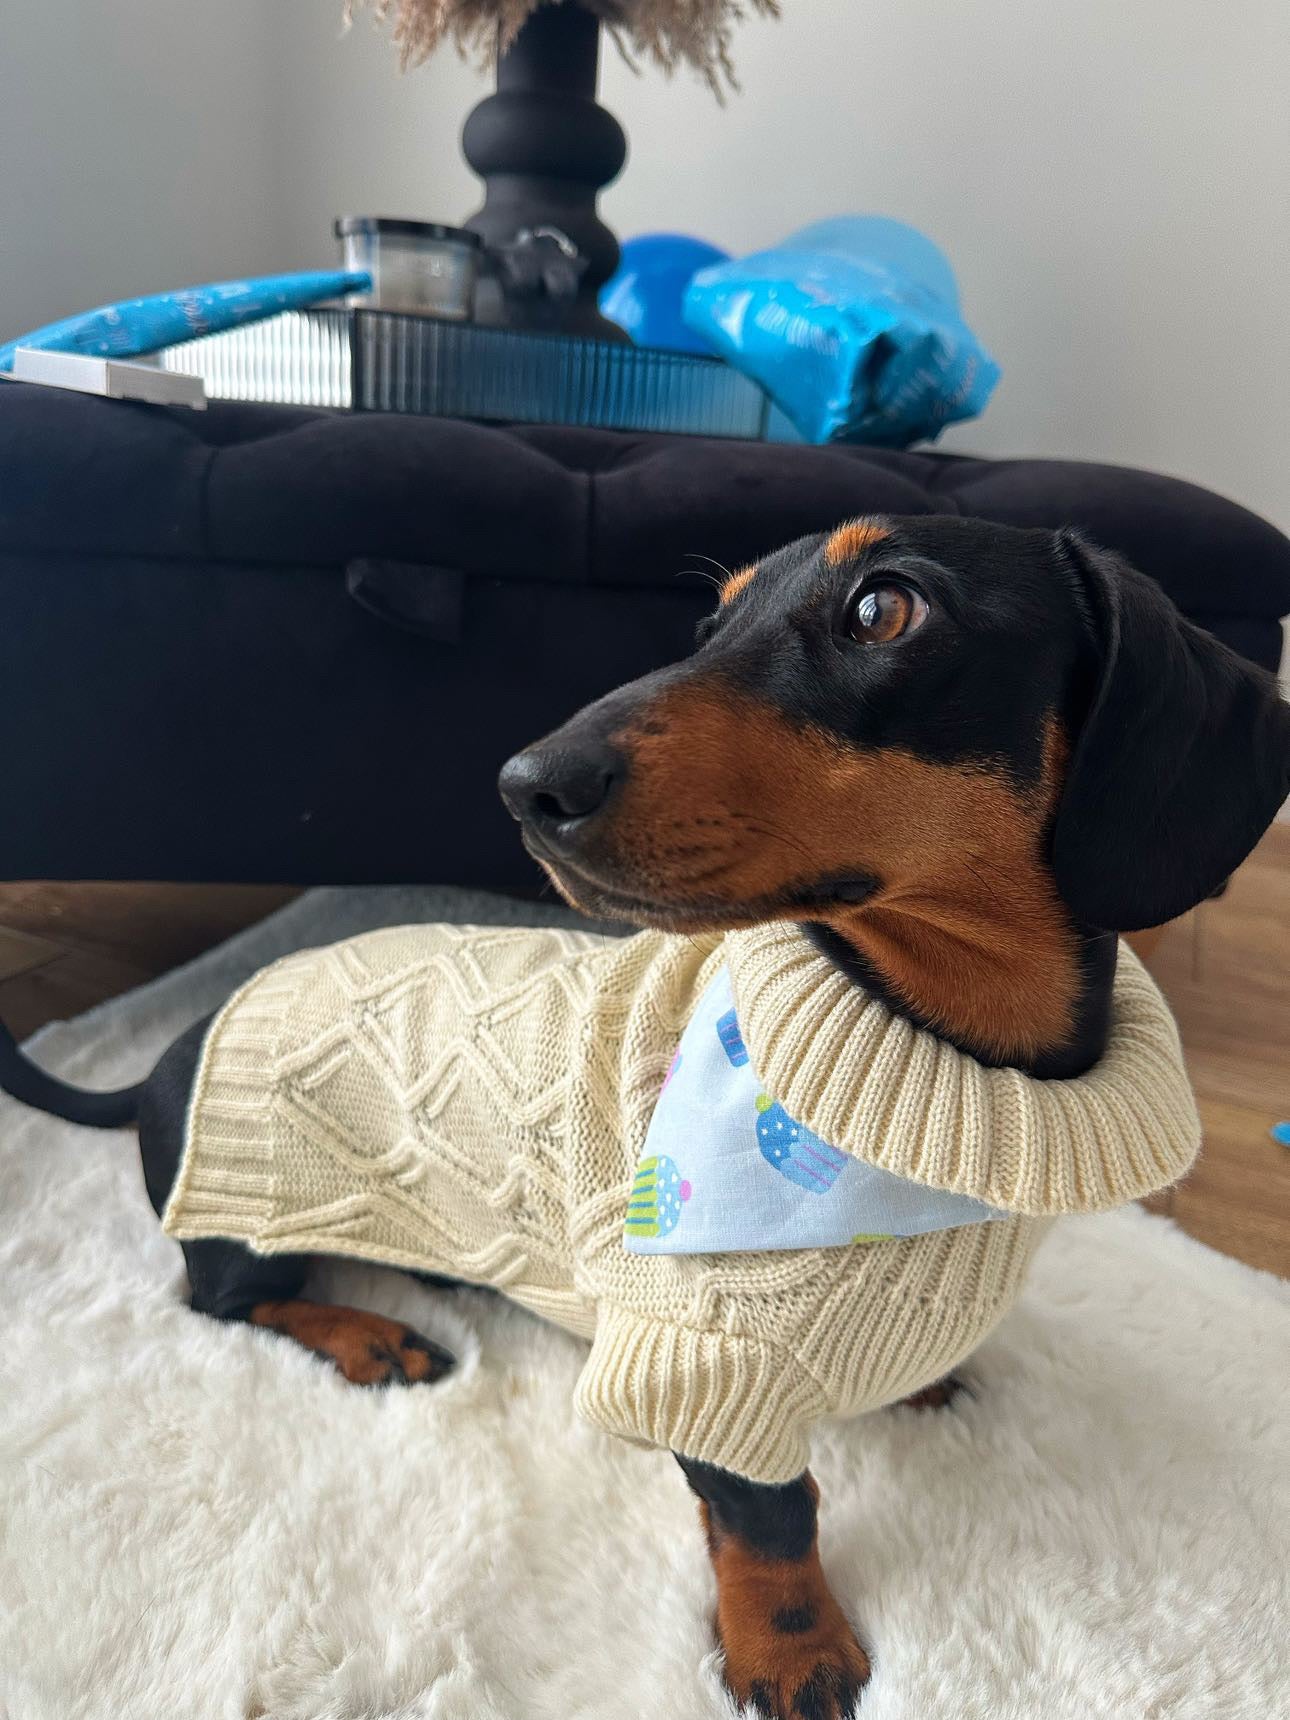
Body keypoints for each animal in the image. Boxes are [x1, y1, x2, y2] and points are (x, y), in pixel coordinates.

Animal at [2, 516, 1290, 1713]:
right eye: (707, 623)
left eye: (886, 607)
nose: (525, 785)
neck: (933, 1073)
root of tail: (168, 1056)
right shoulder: (698, 1361)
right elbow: (772, 1520)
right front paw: (791, 1649)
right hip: (250, 1218)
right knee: (225, 1299)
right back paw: (372, 1336)